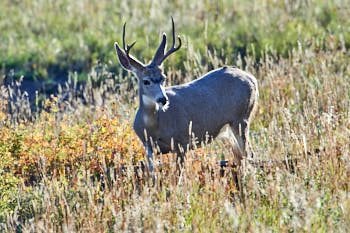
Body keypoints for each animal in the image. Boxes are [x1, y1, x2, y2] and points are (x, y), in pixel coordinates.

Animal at [113, 18, 258, 172]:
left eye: (164, 78)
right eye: (146, 81)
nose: (163, 99)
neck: (154, 126)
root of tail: (252, 79)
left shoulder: (182, 142)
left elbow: (179, 174)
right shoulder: (148, 146)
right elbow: (152, 172)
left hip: (241, 118)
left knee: (249, 153)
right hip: (228, 129)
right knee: (240, 156)